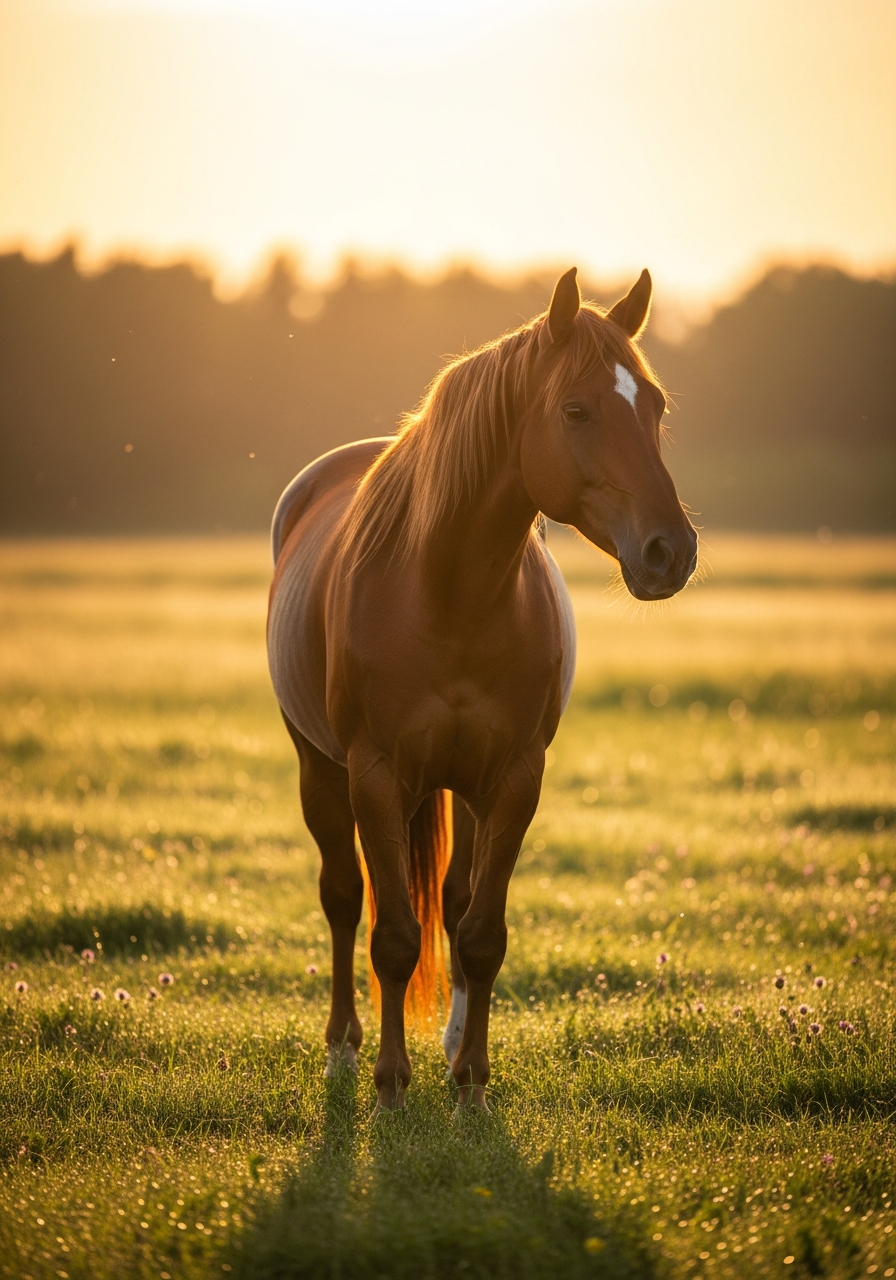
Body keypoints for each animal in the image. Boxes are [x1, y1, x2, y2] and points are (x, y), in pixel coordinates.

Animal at [267, 266, 697, 1112]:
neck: (448, 595)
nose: (672, 551)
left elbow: (480, 934)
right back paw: (344, 1044)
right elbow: (393, 936)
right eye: (575, 408)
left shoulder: (514, 777)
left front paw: (470, 1082)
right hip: (320, 767)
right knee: (344, 897)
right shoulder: (374, 773)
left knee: (454, 900)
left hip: (459, 786)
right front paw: (390, 1086)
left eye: (657, 405)